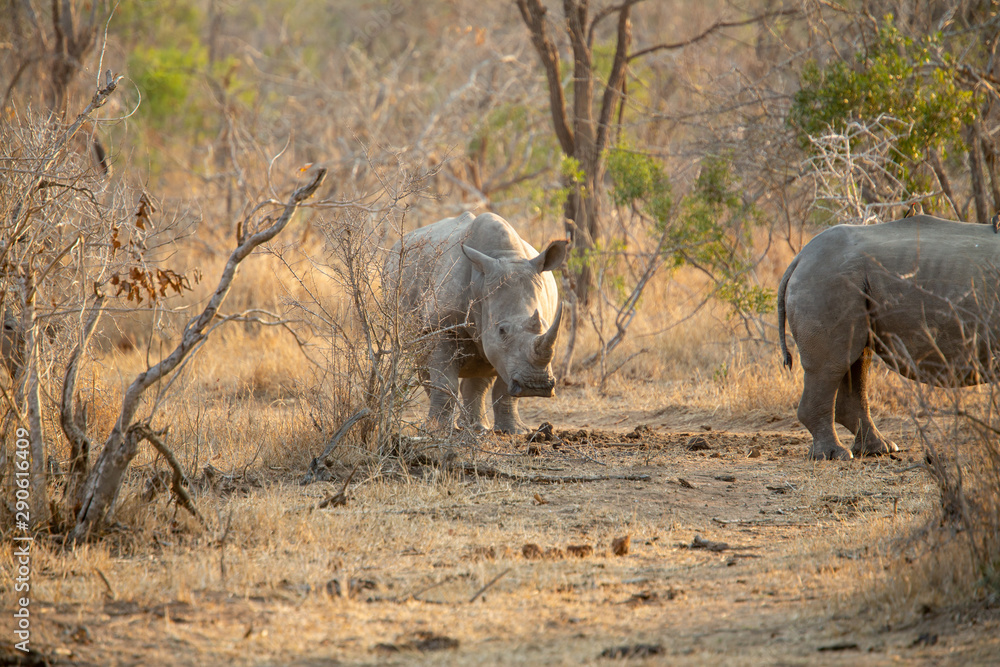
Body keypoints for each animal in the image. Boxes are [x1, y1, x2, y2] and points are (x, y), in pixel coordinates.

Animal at [387, 212, 567, 434]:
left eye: (544, 324)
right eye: (502, 330)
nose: (536, 384)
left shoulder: (502, 351)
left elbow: (502, 386)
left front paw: (514, 431)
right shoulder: (441, 327)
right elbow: (445, 382)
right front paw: (437, 431)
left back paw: (477, 427)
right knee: (421, 359)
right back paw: (442, 426)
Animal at [778, 215, 1000, 460]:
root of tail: (799, 258)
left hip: (843, 281)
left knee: (856, 358)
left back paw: (879, 449)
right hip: (826, 281)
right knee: (833, 365)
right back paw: (836, 455)